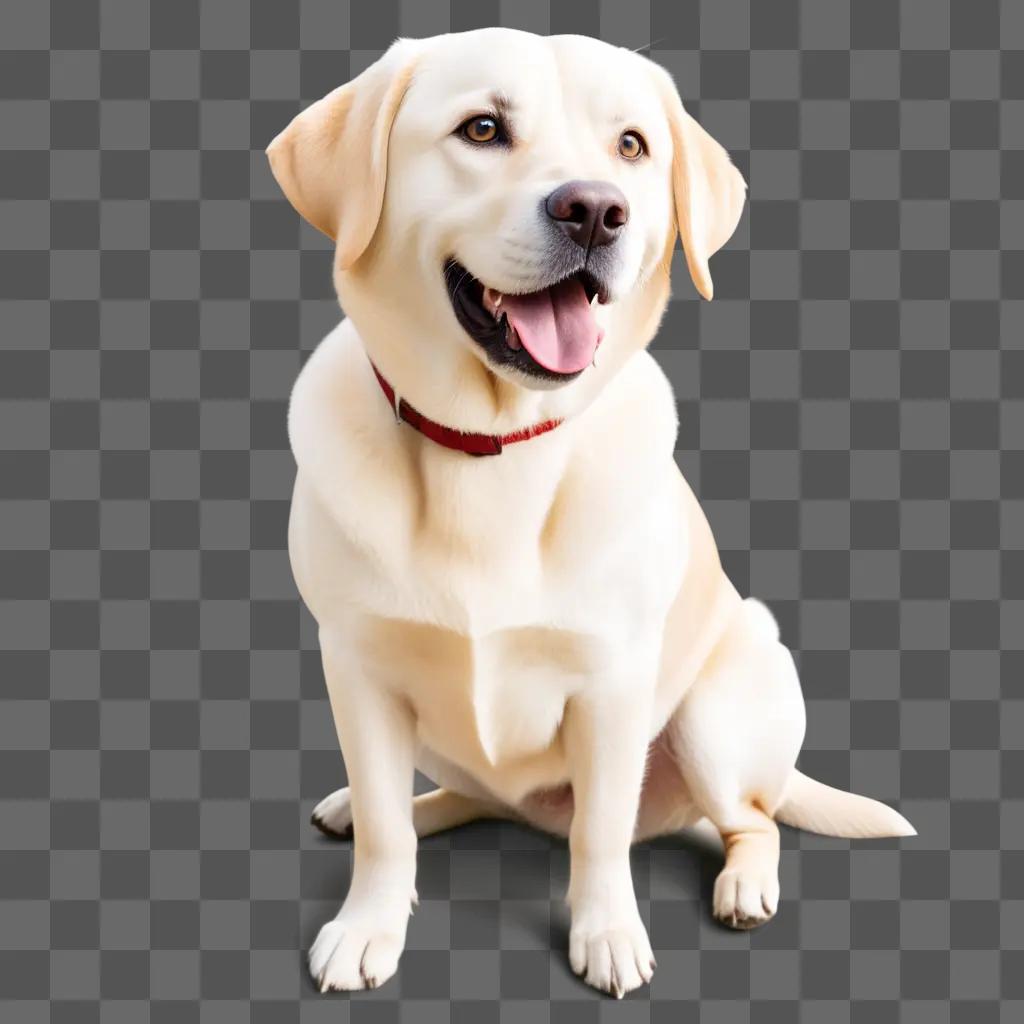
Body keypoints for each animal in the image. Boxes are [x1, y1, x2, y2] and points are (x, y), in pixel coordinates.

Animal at [268, 28, 917, 995]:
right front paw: (368, 924)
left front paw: (608, 934)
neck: (491, 445)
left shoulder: (612, 684)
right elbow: (386, 830)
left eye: (633, 146)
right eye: (483, 128)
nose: (594, 212)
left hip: (715, 710)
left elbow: (602, 833)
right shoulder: (358, 669)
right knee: (461, 795)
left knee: (752, 817)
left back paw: (744, 884)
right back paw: (389, 806)